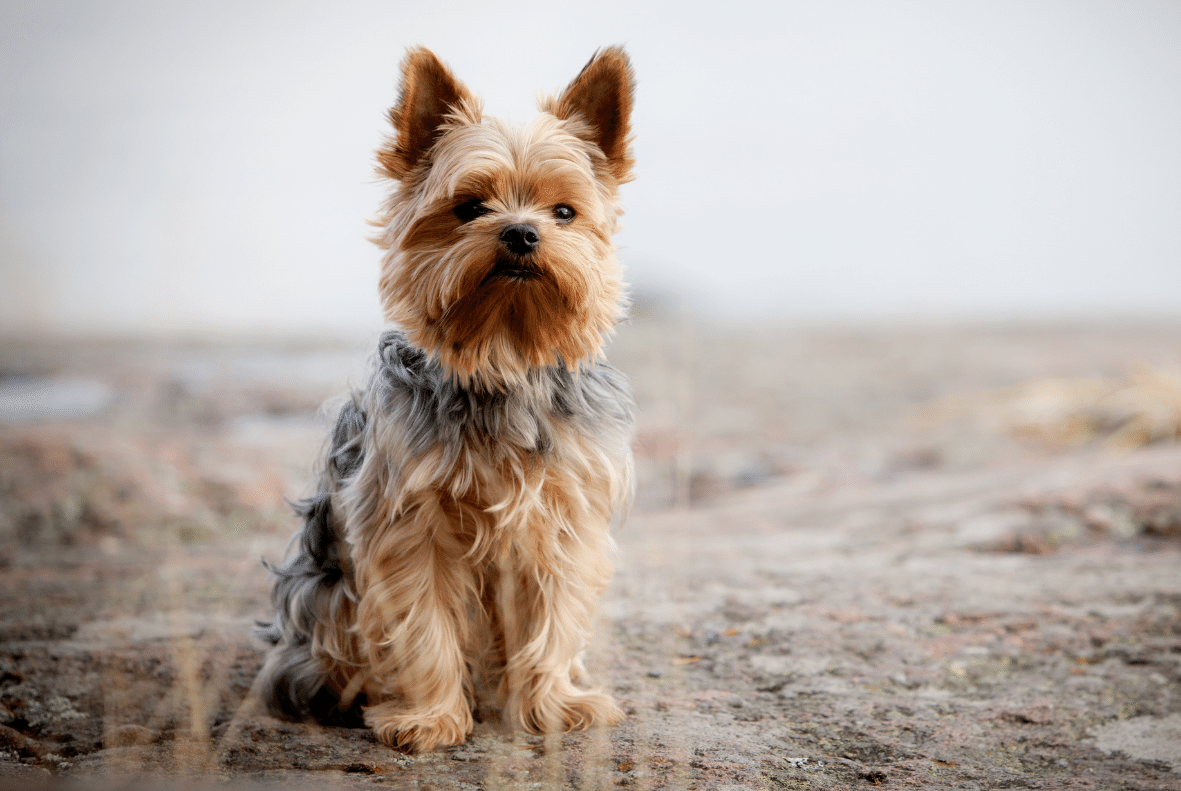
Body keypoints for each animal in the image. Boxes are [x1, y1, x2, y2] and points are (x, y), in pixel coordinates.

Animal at [257, 46, 637, 750]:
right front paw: (429, 718)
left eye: (564, 212)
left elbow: (553, 615)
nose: (521, 234)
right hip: (323, 595)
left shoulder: (560, 519)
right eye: (469, 207)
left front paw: (552, 705)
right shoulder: (409, 524)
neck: (503, 356)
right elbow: (422, 622)